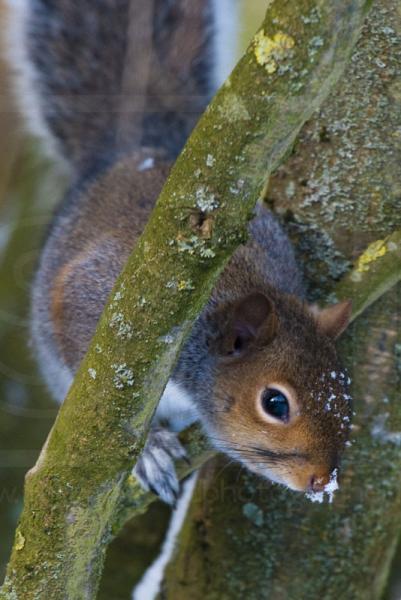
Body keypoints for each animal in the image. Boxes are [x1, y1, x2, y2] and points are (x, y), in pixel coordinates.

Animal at [6, 0, 350, 506]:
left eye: (347, 395)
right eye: (275, 403)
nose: (323, 481)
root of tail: (138, 151)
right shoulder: (95, 306)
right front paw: (151, 449)